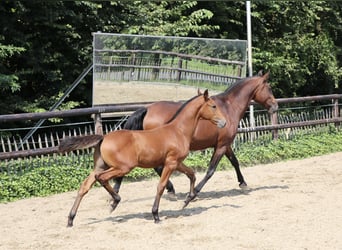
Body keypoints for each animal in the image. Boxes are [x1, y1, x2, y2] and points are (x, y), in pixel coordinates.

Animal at [59, 90, 226, 227]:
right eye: (213, 106)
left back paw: (70, 219)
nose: (224, 122)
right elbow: (161, 186)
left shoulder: (176, 162)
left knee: (85, 186)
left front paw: (187, 200)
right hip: (122, 167)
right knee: (102, 178)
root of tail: (103, 137)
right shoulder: (171, 163)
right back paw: (115, 202)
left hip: (100, 166)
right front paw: (156, 215)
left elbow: (192, 174)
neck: (178, 130)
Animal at [113, 70, 280, 203]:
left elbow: (235, 162)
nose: (275, 106)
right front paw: (192, 194)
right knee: (158, 167)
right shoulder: (222, 145)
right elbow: (211, 170)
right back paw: (171, 190)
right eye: (269, 88)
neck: (229, 107)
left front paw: (243, 183)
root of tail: (147, 109)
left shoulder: (224, 145)